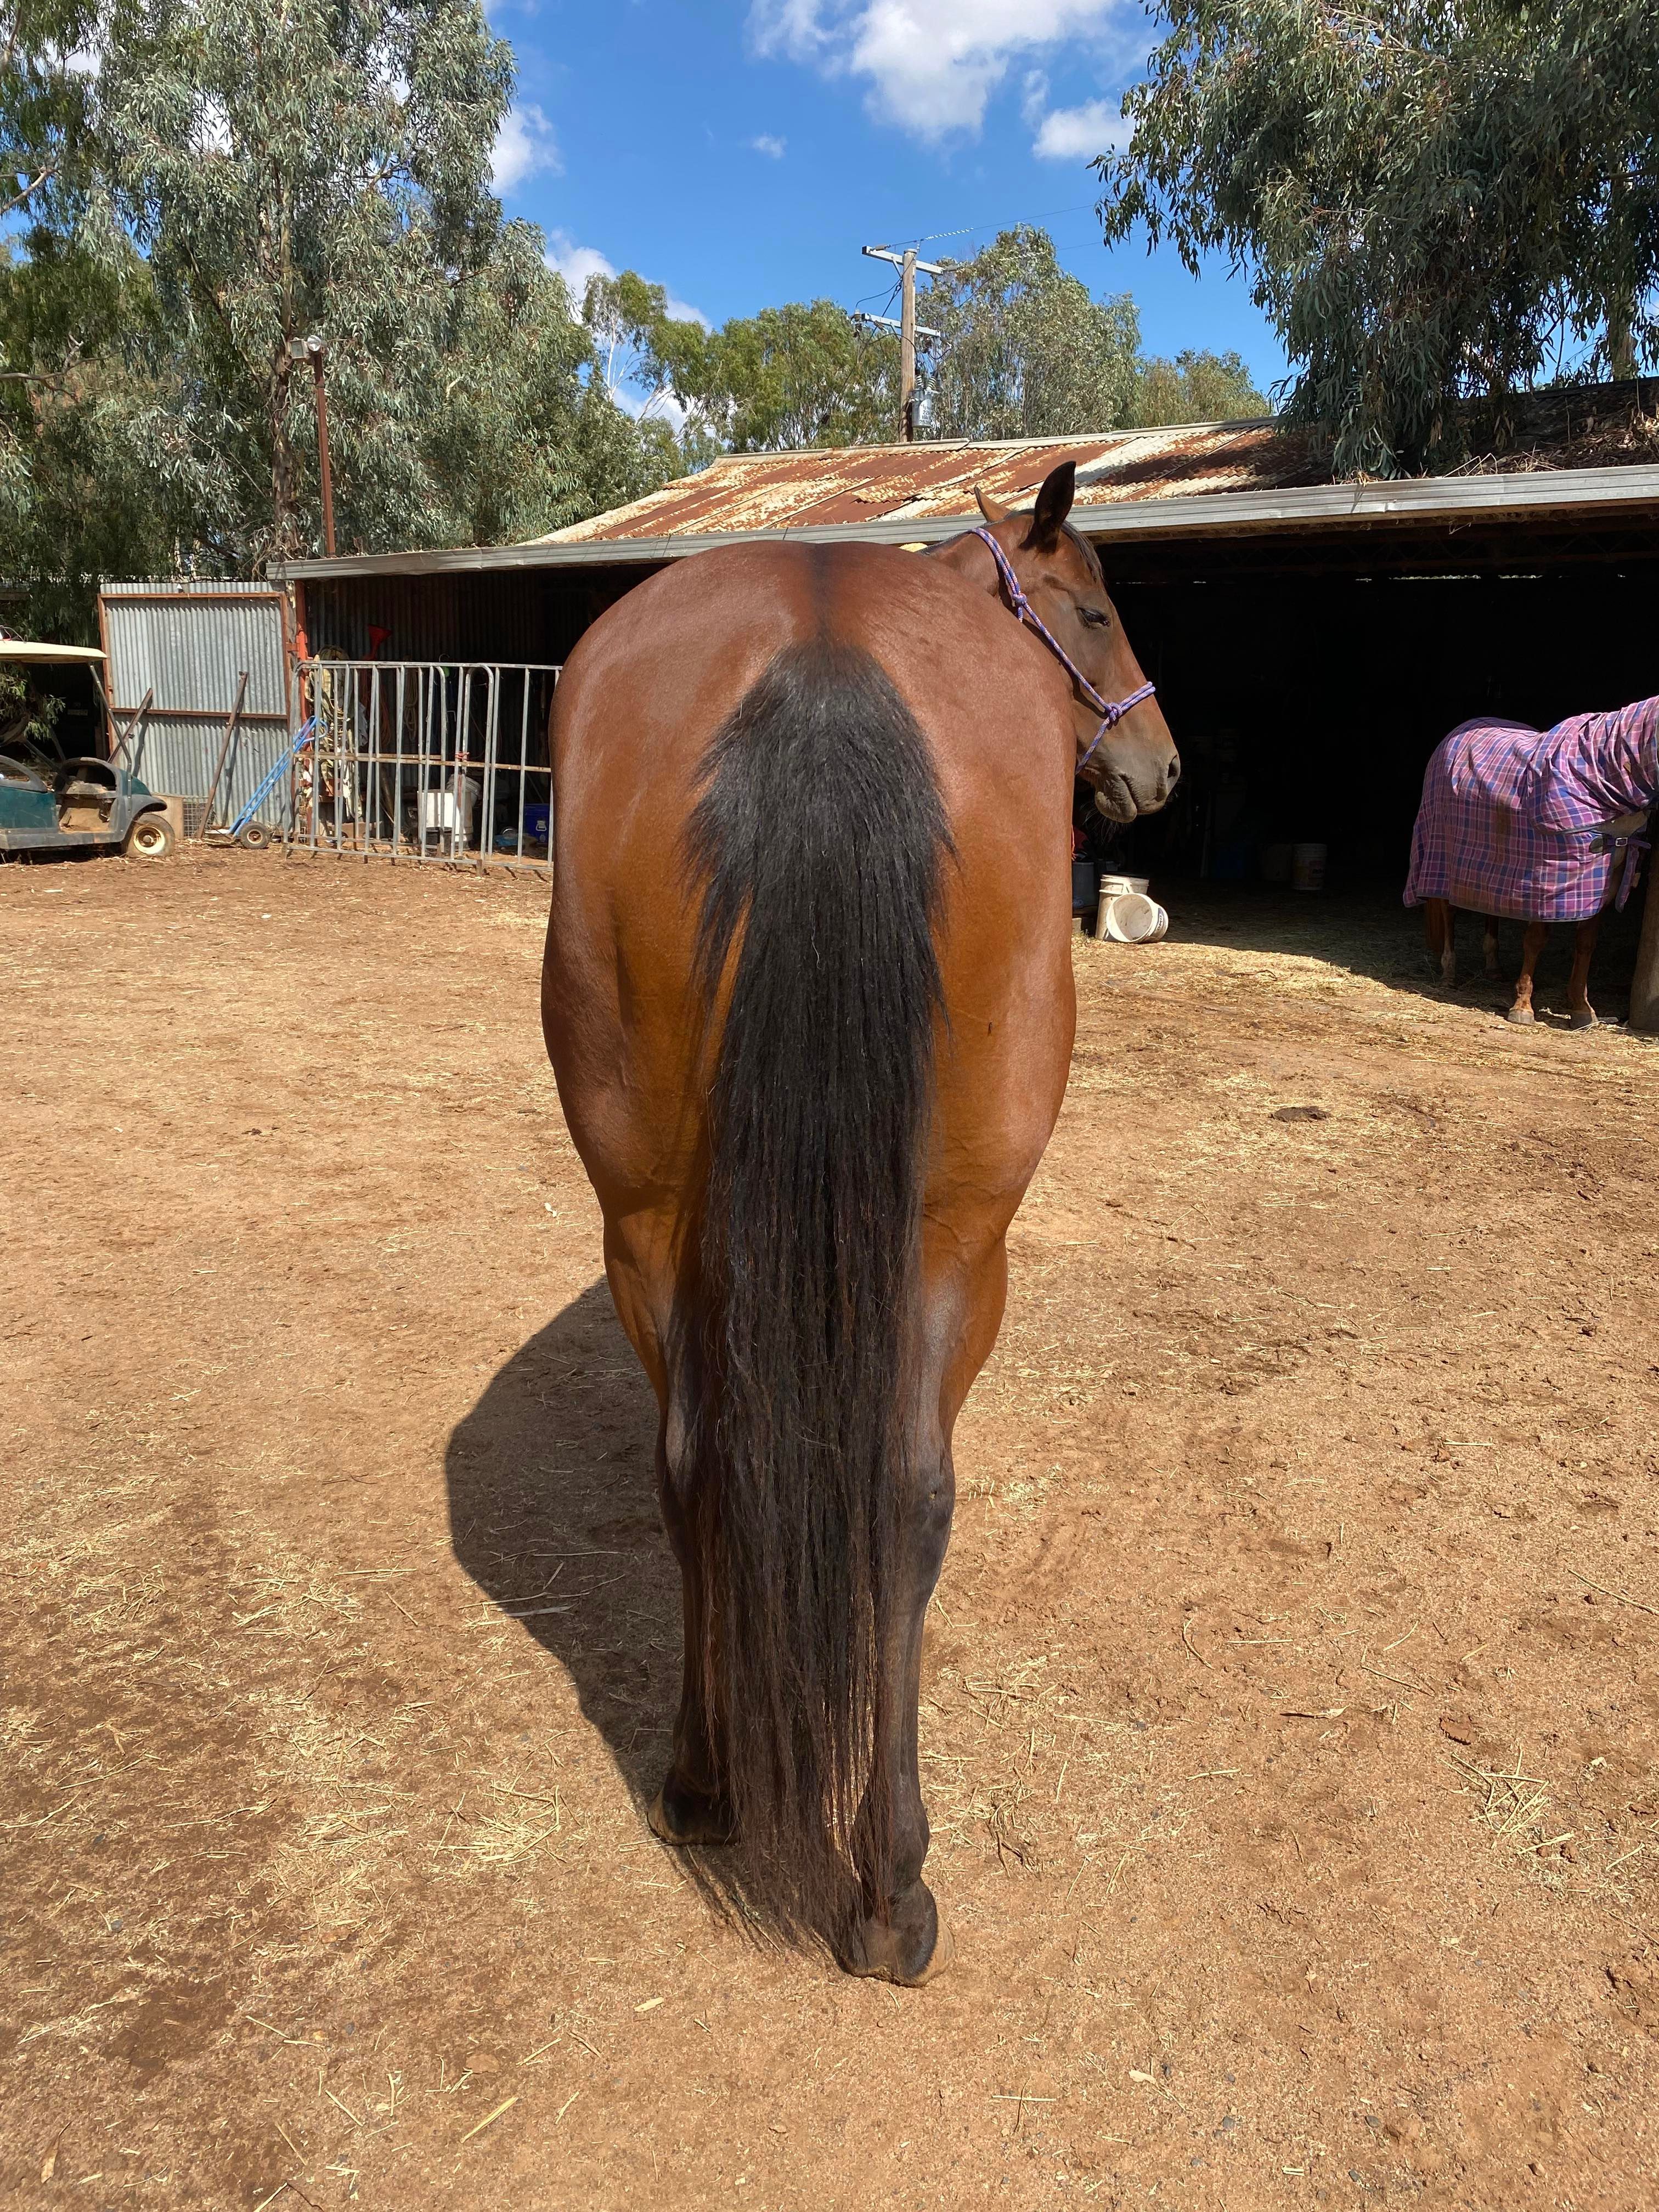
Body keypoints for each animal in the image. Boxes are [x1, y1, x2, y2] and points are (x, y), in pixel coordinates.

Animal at [540, 461, 1177, 1984]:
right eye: (1093, 609)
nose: (1161, 766)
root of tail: (821, 650)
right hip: (955, 1238)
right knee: (904, 1492)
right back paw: (890, 1887)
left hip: (646, 1224)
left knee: (693, 1466)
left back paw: (703, 1783)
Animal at [1406, 697, 1658, 1028]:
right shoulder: (1547, 877)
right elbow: (1537, 940)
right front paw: (1523, 1008)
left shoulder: (1605, 879)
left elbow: (1586, 943)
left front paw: (1582, 1009)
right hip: (1443, 858)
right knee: (1448, 910)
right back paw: (1449, 972)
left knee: (1492, 908)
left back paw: (1494, 968)